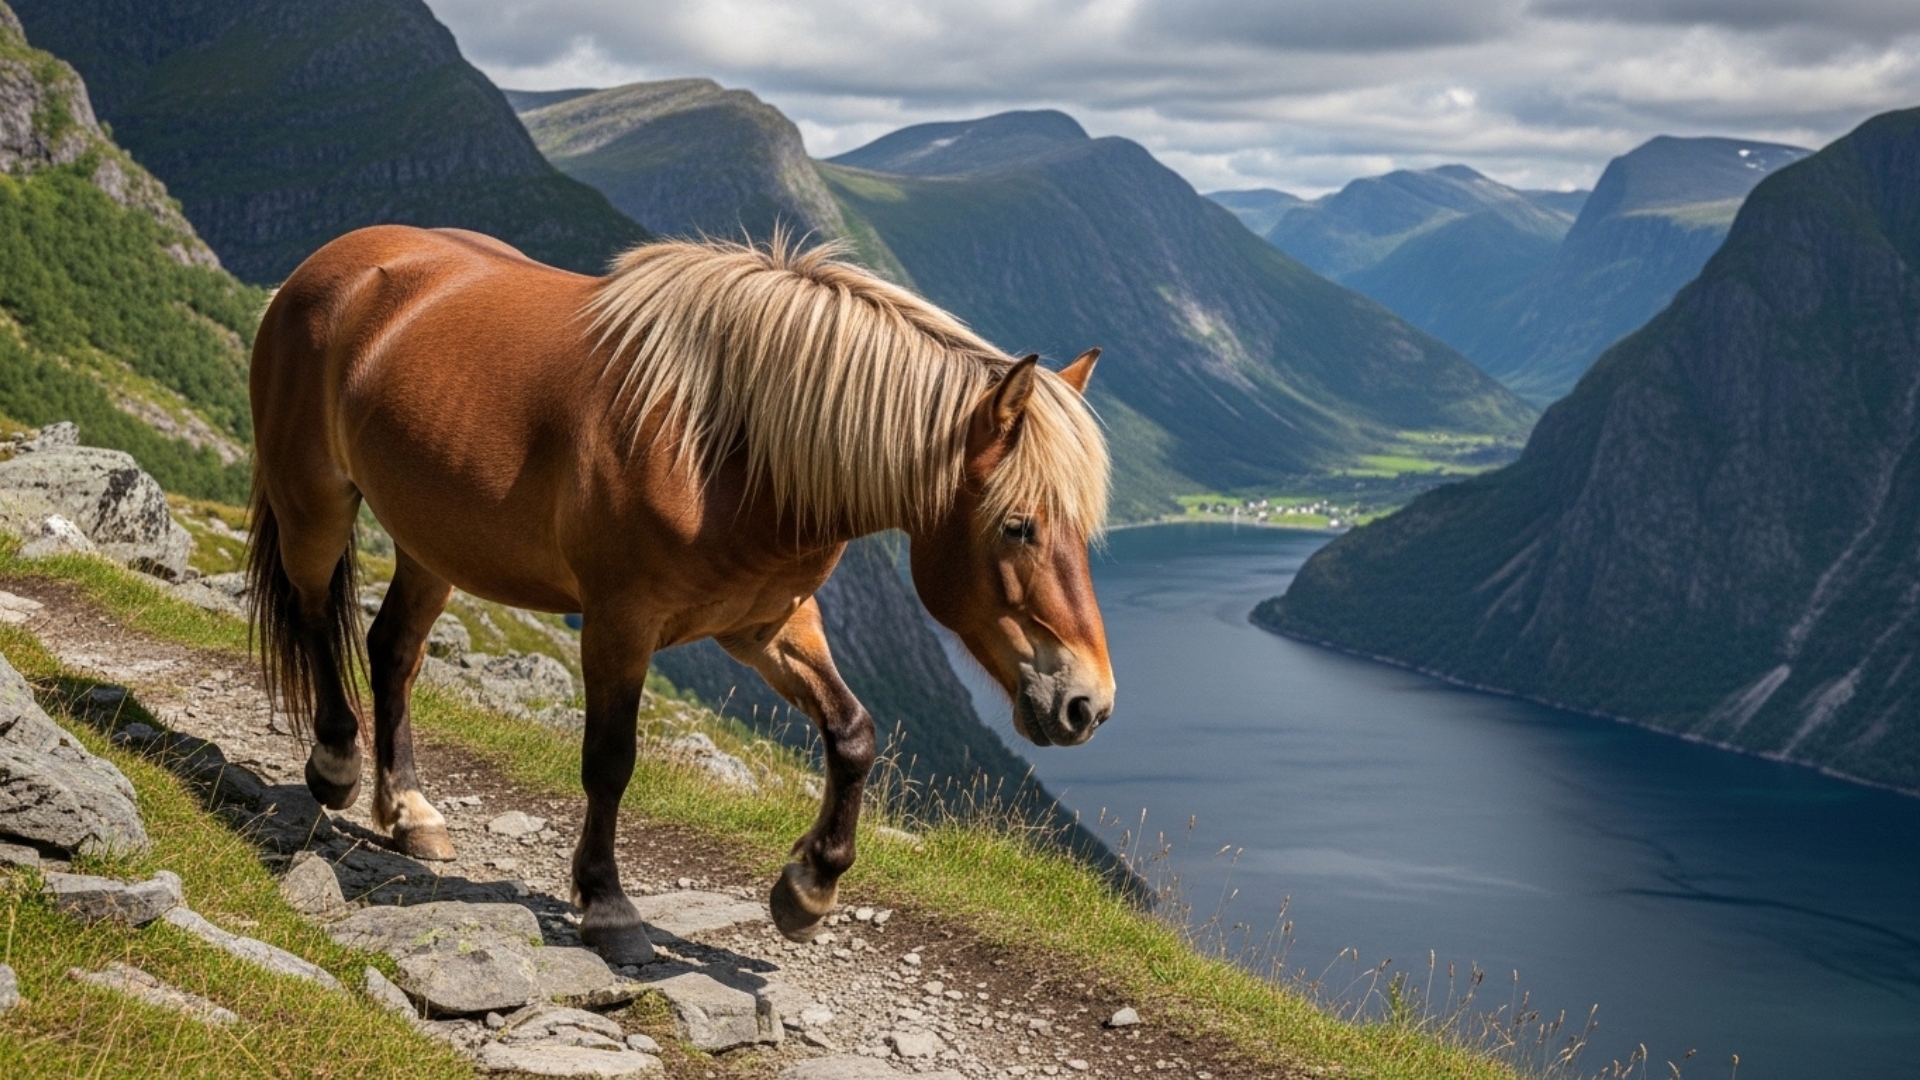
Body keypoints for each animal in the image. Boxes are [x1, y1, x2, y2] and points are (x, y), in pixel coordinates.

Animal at [244, 225, 1116, 964]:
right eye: (1018, 526)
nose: (1088, 705)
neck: (725, 446)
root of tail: (331, 262)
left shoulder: (767, 624)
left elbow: (854, 736)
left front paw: (808, 889)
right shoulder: (619, 624)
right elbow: (610, 761)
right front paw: (608, 906)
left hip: (433, 542)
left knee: (392, 651)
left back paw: (410, 813)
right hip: (315, 504)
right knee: (318, 617)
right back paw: (335, 764)